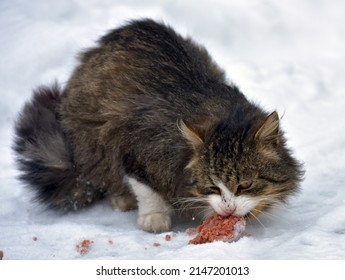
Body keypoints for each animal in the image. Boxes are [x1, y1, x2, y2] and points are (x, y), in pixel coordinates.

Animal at [13, 18, 302, 232]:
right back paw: (122, 197)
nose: (228, 208)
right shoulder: (134, 147)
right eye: (211, 187)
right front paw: (154, 217)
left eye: (245, 185)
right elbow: (146, 188)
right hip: (91, 139)